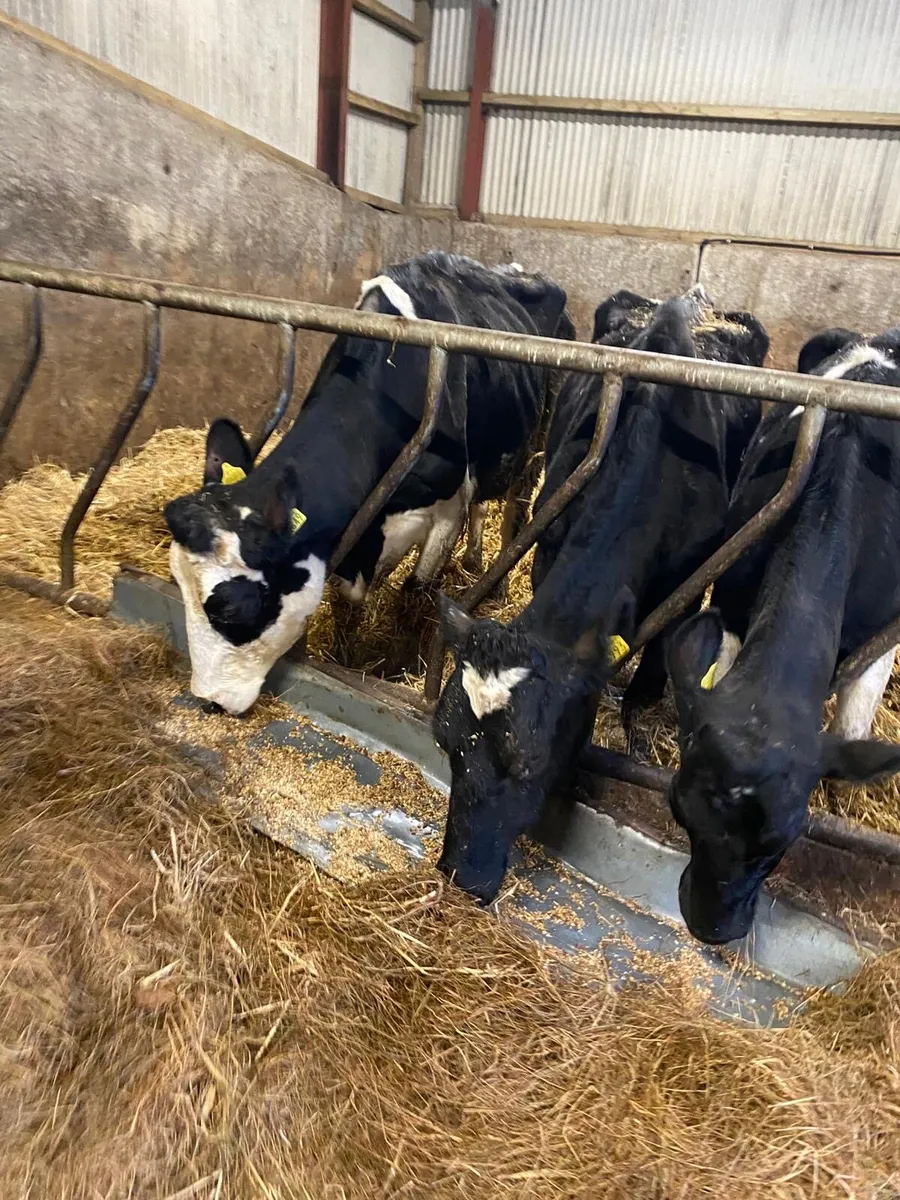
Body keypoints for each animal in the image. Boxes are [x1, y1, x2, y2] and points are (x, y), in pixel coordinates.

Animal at [163, 252, 572, 716]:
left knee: (515, 510)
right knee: (483, 503)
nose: (207, 700)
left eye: (232, 609)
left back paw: (498, 583)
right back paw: (471, 559)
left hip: (535, 442)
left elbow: (415, 594)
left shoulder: (445, 509)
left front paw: (396, 668)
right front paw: (346, 654)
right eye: (178, 582)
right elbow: (347, 598)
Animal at [433, 285, 770, 903]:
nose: (459, 874)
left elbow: (656, 661)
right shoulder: (548, 546)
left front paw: (632, 732)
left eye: (529, 764)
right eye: (445, 742)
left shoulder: (686, 581)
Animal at [665, 326, 900, 945]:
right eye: (678, 809)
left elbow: (851, 728)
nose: (712, 927)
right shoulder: (729, 601)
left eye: (784, 842)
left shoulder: (881, 639)